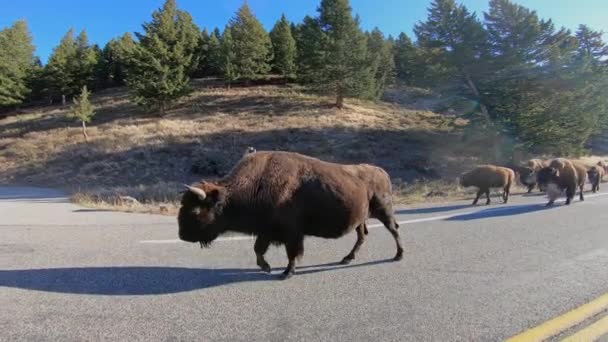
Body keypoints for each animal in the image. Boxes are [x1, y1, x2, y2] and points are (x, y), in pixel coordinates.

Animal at [177, 151, 404, 280]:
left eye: (195, 210)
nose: (182, 235)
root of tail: (382, 172)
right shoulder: (266, 231)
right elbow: (258, 249)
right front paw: (267, 268)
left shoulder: (291, 234)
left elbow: (291, 253)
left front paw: (286, 273)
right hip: (360, 219)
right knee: (362, 235)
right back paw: (346, 259)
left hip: (384, 211)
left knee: (394, 230)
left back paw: (398, 255)